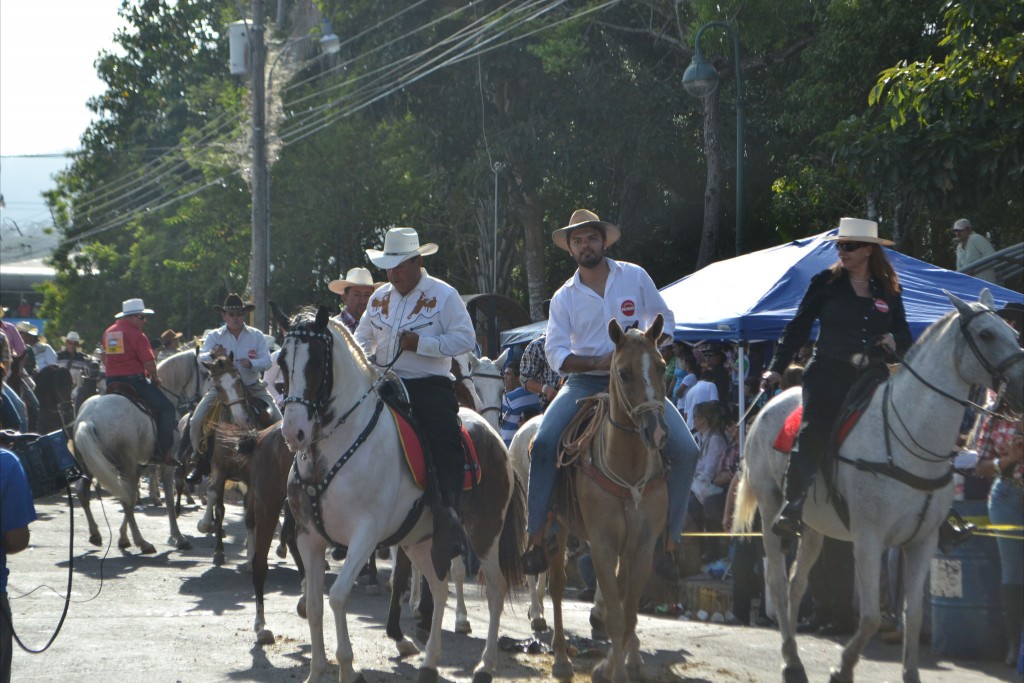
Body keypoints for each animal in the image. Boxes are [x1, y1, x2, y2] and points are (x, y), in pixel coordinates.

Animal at [73, 393, 192, 552]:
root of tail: (88, 419)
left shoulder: (138, 467)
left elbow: (134, 496)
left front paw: (123, 537)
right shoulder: (166, 467)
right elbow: (168, 500)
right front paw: (178, 536)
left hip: (92, 465)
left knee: (84, 491)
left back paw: (95, 534)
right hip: (124, 465)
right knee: (125, 498)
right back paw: (142, 542)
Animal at [276, 307, 524, 683]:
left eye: (317, 361)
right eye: (280, 361)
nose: (294, 432)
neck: (329, 453)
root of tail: (495, 437)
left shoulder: (365, 535)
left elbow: (338, 597)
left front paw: (348, 667)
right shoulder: (309, 537)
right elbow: (316, 604)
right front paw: (317, 670)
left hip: (485, 534)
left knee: (495, 589)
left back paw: (485, 664)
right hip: (421, 539)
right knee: (439, 588)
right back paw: (430, 661)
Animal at [544, 317, 671, 683]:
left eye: (662, 367)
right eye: (624, 373)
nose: (657, 432)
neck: (627, 468)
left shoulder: (642, 546)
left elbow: (627, 613)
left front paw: (621, 664)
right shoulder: (601, 544)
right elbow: (616, 615)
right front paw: (610, 670)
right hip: (554, 528)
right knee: (556, 588)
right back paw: (561, 658)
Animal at [737, 290, 1024, 683]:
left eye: (1014, 333)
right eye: (986, 334)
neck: (912, 437)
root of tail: (769, 406)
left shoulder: (922, 542)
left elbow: (912, 614)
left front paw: (911, 673)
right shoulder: (868, 539)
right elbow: (873, 616)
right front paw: (842, 667)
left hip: (812, 526)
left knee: (797, 584)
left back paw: (792, 654)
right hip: (770, 512)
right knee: (779, 584)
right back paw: (791, 663)